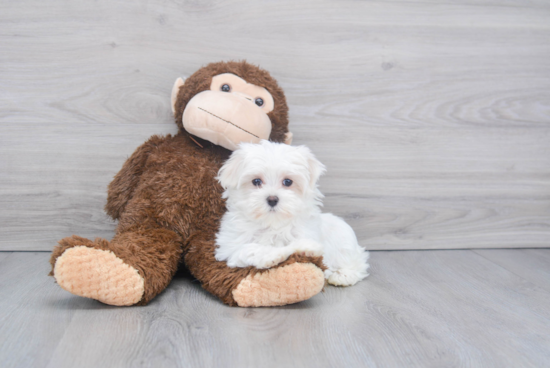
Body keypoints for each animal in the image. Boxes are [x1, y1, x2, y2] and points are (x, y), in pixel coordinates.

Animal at [216, 139, 370, 286]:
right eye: (256, 181)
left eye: (288, 182)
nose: (272, 199)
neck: (272, 224)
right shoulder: (230, 248)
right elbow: (249, 249)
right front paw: (272, 256)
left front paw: (307, 248)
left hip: (345, 244)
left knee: (357, 263)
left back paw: (342, 276)